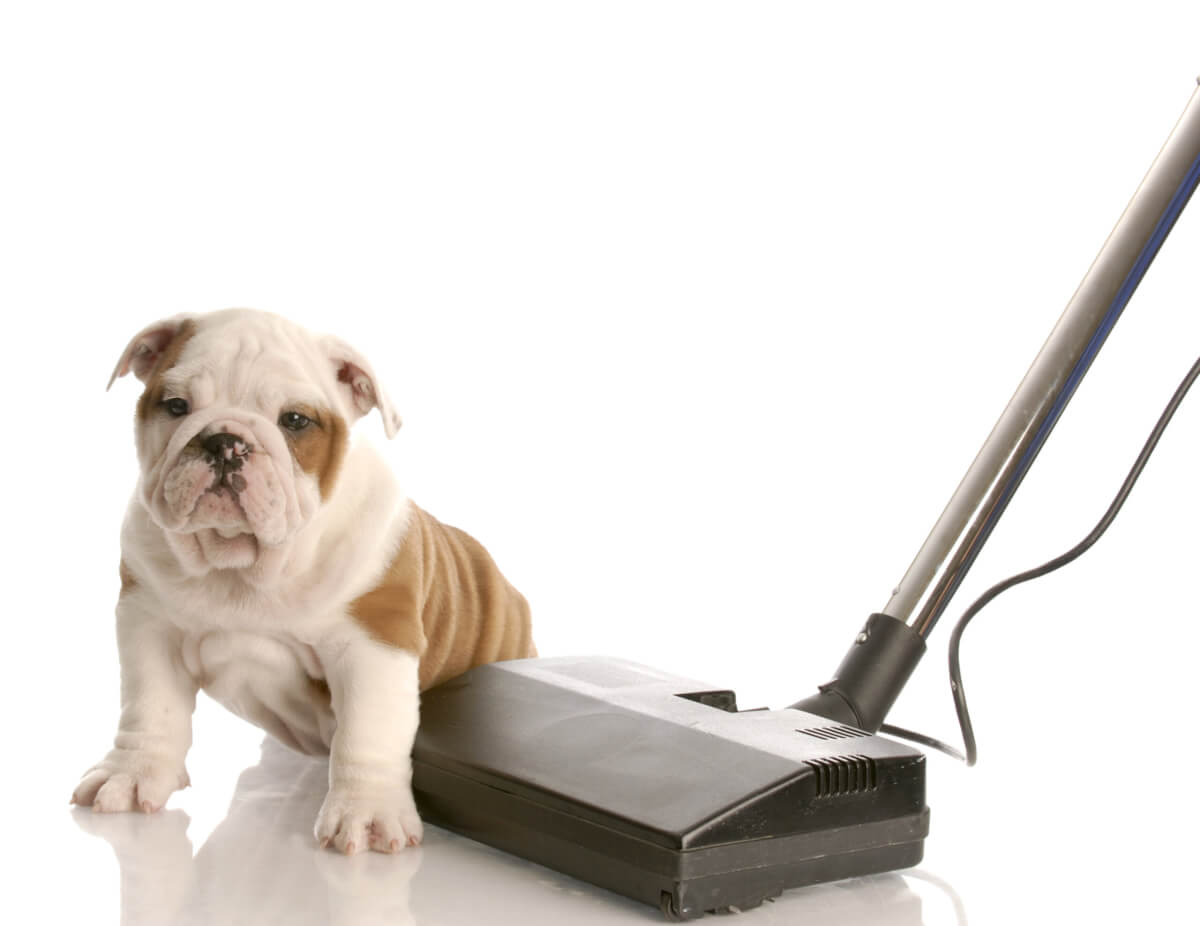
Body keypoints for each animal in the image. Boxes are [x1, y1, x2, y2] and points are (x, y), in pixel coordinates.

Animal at [68, 309, 532, 854]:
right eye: (176, 406)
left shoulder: (374, 642)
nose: (224, 440)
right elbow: (149, 708)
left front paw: (366, 812)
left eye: (294, 421)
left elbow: (368, 731)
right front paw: (133, 772)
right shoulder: (148, 623)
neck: (243, 564)